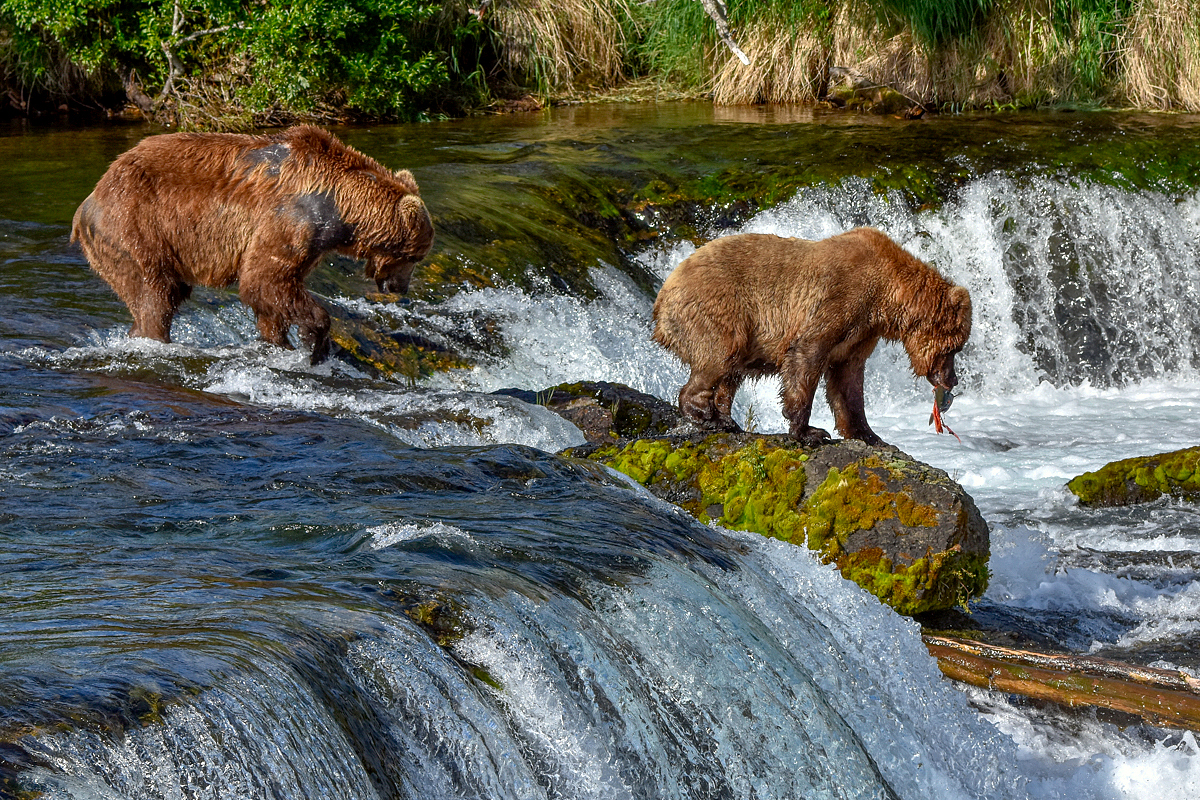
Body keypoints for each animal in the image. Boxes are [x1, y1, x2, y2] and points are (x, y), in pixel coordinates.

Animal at [71, 123, 436, 364]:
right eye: (415, 256)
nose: (401, 288)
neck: (338, 208)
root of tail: (89, 199)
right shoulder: (289, 218)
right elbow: (264, 279)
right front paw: (315, 344)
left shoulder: (309, 242)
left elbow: (272, 294)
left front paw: (280, 342)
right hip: (135, 227)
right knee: (155, 294)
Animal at [652, 227, 969, 448]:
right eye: (956, 347)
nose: (952, 380)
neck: (886, 299)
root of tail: (664, 290)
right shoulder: (840, 299)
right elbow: (807, 357)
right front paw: (810, 431)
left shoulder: (860, 333)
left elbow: (848, 383)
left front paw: (870, 434)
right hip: (721, 308)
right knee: (720, 355)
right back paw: (705, 416)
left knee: (730, 374)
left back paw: (725, 418)